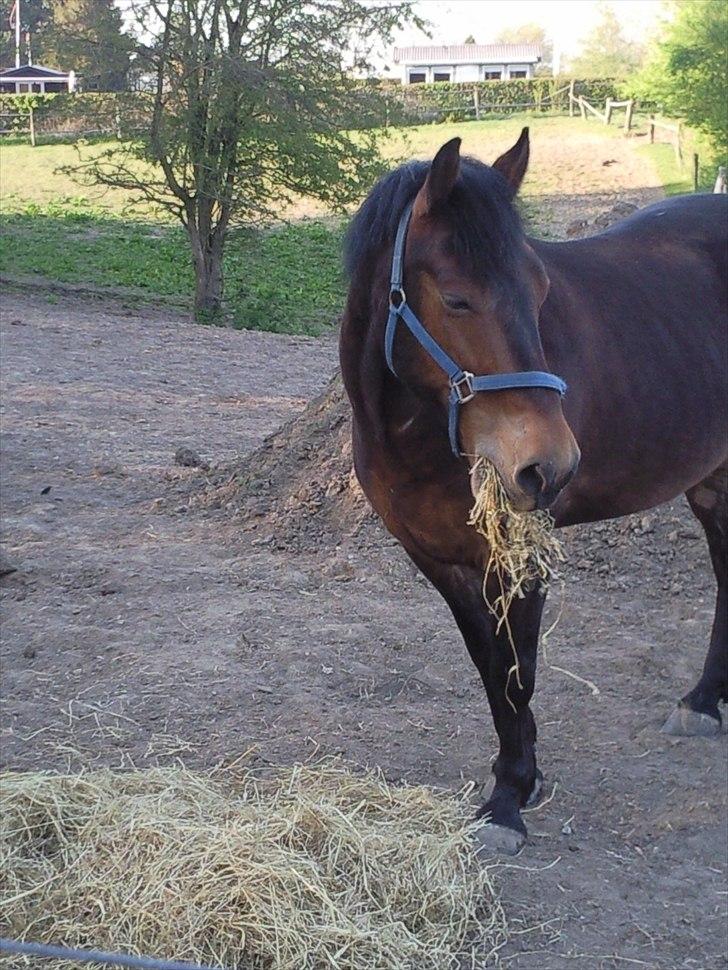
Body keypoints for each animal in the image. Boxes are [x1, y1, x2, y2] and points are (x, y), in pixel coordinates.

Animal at [342, 129, 728, 848]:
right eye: (457, 298)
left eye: (542, 287)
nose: (550, 466)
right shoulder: (437, 558)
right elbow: (493, 667)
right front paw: (519, 775)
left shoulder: (519, 557)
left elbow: (518, 669)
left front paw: (509, 798)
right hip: (711, 481)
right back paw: (702, 701)